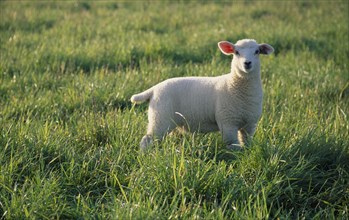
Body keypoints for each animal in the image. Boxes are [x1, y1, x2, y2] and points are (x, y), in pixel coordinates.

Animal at [129, 38, 274, 150]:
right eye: (236, 52)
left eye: (257, 52)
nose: (247, 63)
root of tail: (154, 89)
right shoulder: (228, 123)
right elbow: (233, 146)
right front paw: (235, 159)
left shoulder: (250, 124)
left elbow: (246, 143)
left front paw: (246, 154)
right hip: (160, 118)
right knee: (147, 140)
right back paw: (145, 157)